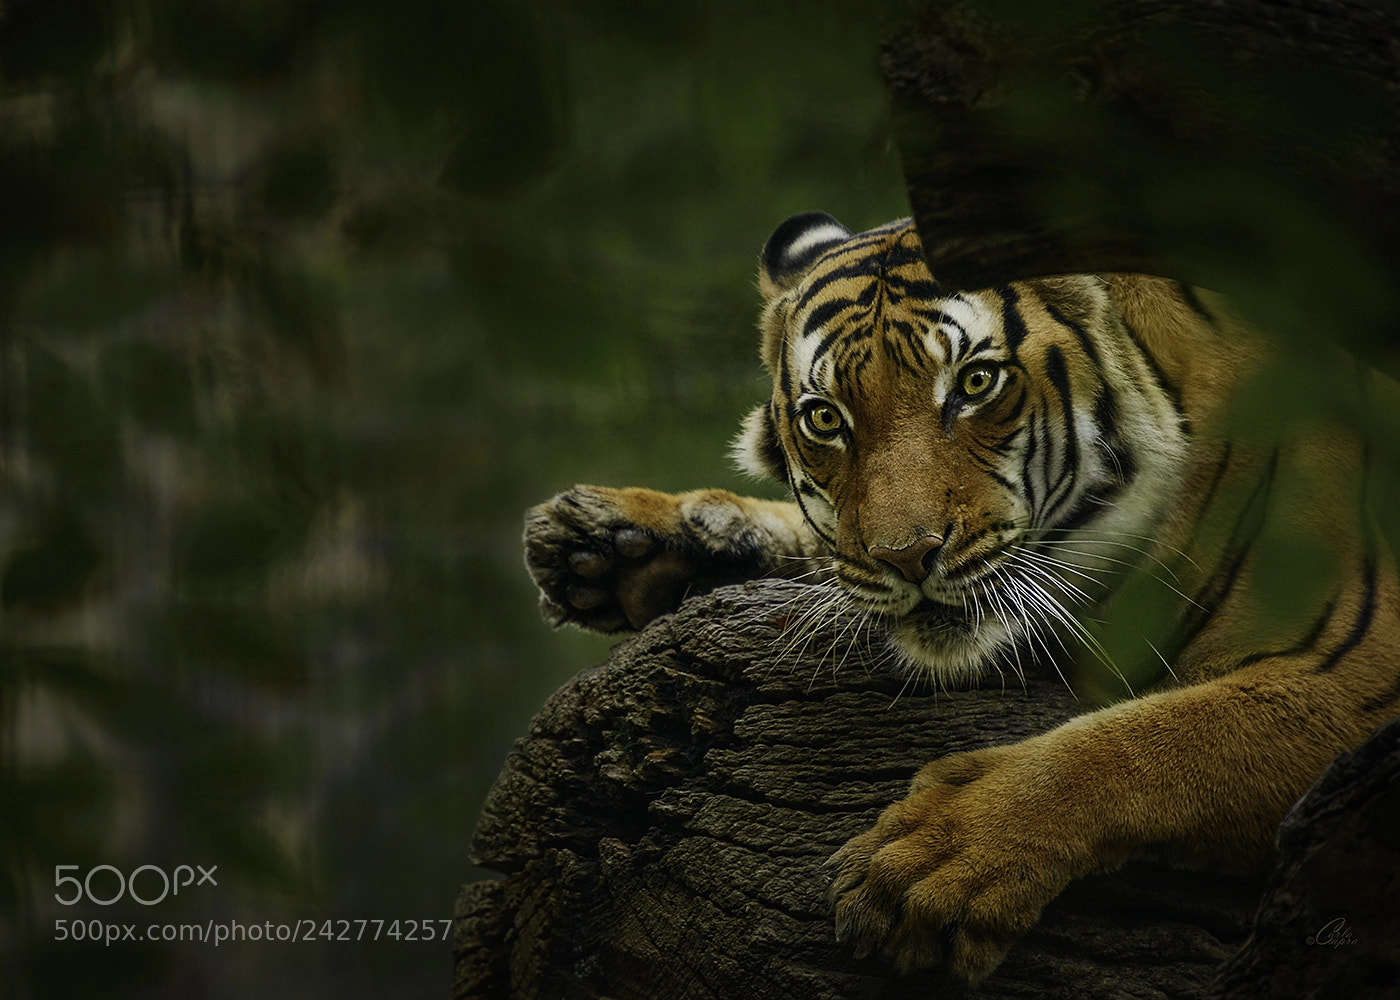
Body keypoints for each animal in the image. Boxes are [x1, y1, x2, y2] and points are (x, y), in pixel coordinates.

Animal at [522, 212, 1400, 982]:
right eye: (826, 419)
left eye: (976, 383)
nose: (908, 556)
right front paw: (619, 537)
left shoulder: (1358, 669)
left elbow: (1153, 740)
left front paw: (934, 863)